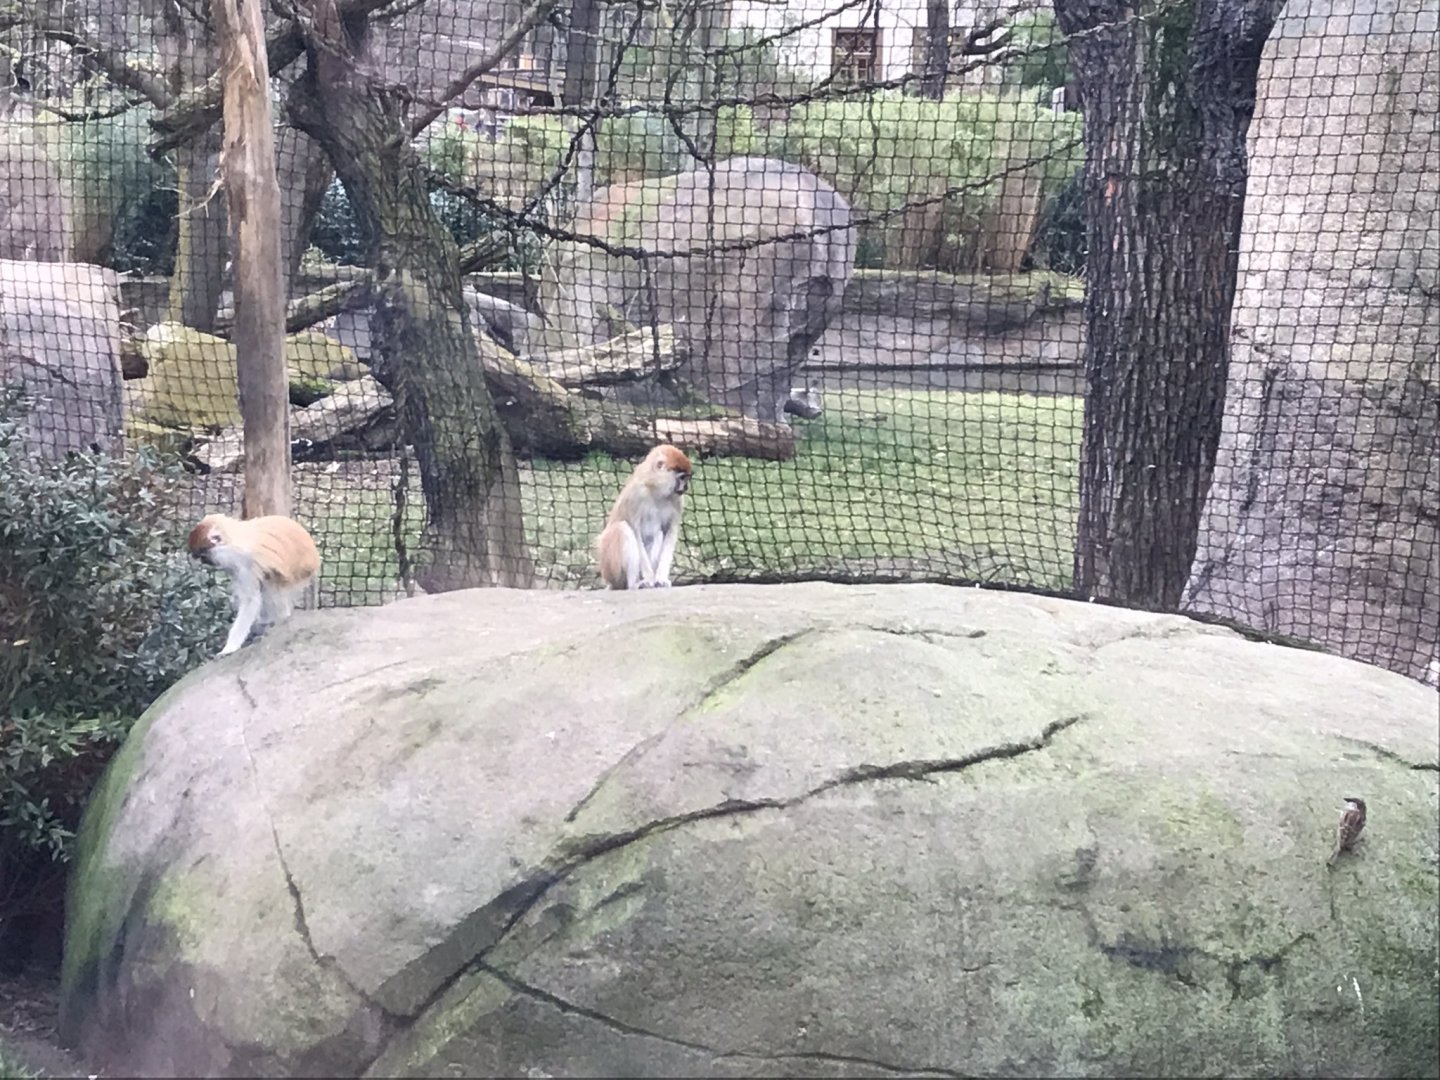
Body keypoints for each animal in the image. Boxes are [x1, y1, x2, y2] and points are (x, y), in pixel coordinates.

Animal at [187, 513, 321, 656]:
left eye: (204, 556)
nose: (202, 562)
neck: (234, 537)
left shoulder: (245, 561)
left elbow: (251, 601)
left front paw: (229, 648)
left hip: (299, 576)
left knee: (271, 582)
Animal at [595, 444, 693, 591]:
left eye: (686, 478)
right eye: (682, 478)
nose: (686, 487)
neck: (655, 489)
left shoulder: (677, 501)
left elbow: (670, 533)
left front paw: (661, 580)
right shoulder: (636, 496)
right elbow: (635, 532)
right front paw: (650, 579)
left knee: (659, 534)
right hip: (611, 569)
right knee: (622, 528)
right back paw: (635, 584)